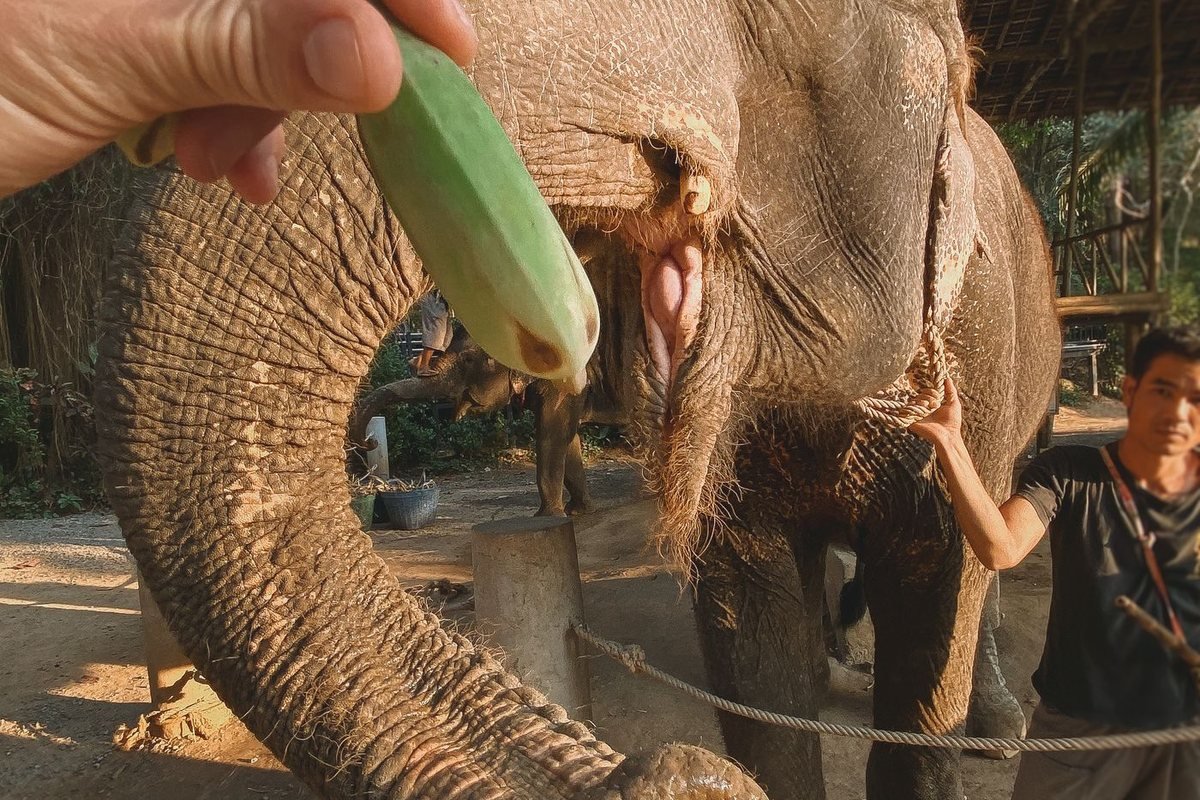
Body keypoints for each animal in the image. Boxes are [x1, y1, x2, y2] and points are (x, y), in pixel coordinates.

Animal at [349, 326, 623, 516]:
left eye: (468, 359)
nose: (370, 442)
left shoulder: (568, 380)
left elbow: (552, 434)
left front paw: (548, 517)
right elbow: (568, 438)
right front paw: (577, 512)